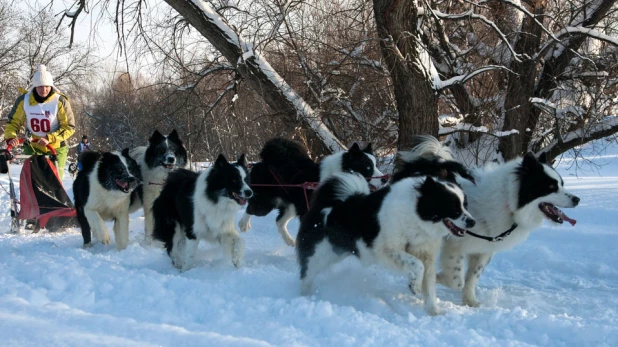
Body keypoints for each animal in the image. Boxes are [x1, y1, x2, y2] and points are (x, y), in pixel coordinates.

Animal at [237, 137, 384, 246]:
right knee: (251, 208)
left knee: (279, 221)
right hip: (265, 203)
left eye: (376, 166)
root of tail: (265, 161)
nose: (384, 179)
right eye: (368, 168)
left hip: (293, 205)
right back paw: (243, 224)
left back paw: (290, 241)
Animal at [296, 173, 474, 316]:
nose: (472, 222)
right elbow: (417, 265)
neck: (416, 213)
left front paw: (433, 311)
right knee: (306, 275)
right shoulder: (387, 250)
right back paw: (304, 297)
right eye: (453, 207)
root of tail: (330, 203)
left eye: (465, 205)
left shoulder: (426, 255)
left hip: (336, 252)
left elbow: (429, 283)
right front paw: (415, 286)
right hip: (317, 255)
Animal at [394, 136, 576, 308]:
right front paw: (434, 279)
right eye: (551, 187)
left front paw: (470, 301)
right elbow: (456, 281)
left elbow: (472, 277)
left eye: (562, 184)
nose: (577, 199)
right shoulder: (455, 244)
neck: (508, 200)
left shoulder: (485, 248)